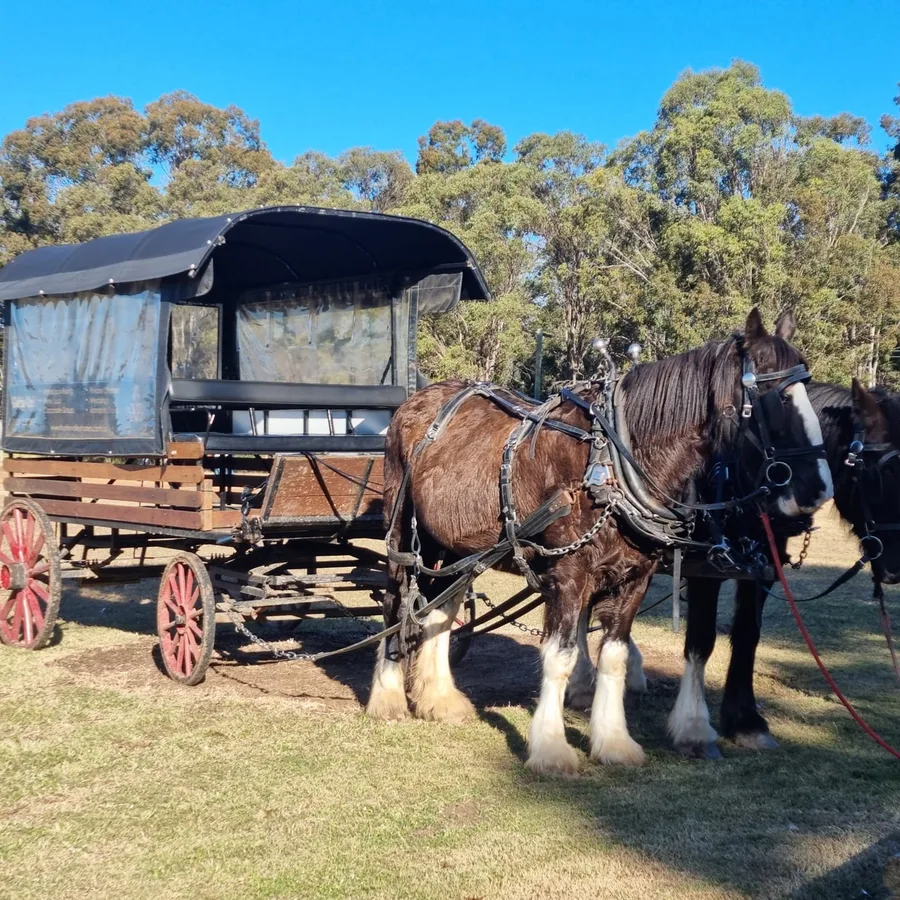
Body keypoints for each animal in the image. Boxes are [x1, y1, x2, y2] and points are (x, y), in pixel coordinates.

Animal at [366, 309, 833, 775]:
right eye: (777, 397)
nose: (818, 489)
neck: (611, 463)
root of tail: (415, 402)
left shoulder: (636, 577)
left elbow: (615, 655)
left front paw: (613, 741)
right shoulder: (570, 575)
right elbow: (560, 655)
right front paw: (551, 747)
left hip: (457, 547)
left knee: (440, 610)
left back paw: (440, 700)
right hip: (403, 535)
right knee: (396, 602)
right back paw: (387, 697)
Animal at [570, 379, 900, 759]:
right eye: (883, 472)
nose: (894, 569)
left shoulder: (762, 568)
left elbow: (747, 635)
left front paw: (745, 722)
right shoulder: (704, 568)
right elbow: (701, 639)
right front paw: (694, 728)